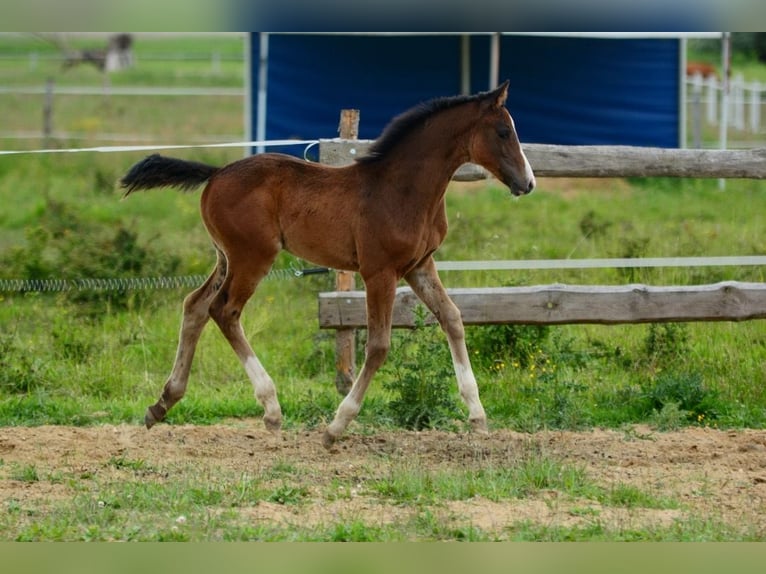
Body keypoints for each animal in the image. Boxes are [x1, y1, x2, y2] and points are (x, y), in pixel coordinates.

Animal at [120, 80, 535, 450]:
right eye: (503, 131)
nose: (528, 183)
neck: (402, 190)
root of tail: (216, 172)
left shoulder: (420, 266)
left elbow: (452, 318)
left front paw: (478, 418)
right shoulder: (379, 272)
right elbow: (379, 346)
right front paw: (336, 427)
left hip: (226, 258)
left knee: (195, 305)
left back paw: (161, 404)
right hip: (253, 257)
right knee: (224, 310)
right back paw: (271, 410)